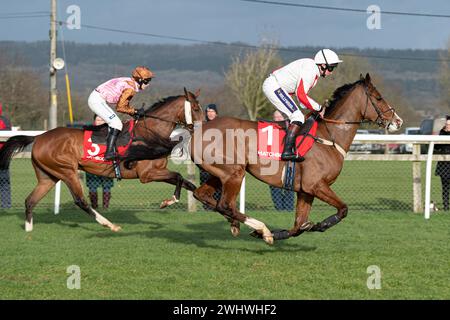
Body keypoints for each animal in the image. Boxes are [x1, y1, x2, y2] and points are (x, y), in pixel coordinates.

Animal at [0, 88, 202, 232]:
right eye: (196, 108)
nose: (201, 127)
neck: (150, 132)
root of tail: (38, 137)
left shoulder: (157, 172)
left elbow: (189, 183)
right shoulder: (147, 174)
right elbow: (178, 176)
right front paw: (168, 201)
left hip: (48, 176)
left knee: (30, 201)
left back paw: (29, 231)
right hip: (67, 171)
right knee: (80, 201)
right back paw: (110, 225)